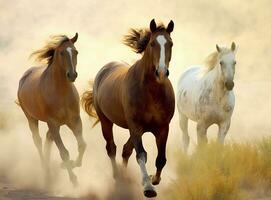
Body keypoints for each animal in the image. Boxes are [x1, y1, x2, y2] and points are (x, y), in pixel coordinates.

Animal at [17, 33, 86, 187]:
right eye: (61, 53)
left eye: (76, 52)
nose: (72, 75)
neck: (61, 93)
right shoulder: (53, 123)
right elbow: (64, 152)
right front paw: (73, 179)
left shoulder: (74, 121)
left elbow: (82, 145)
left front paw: (73, 164)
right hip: (32, 119)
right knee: (38, 141)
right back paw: (46, 172)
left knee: (48, 140)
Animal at [82, 19, 175, 198]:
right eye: (152, 43)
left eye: (171, 44)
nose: (161, 72)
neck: (152, 93)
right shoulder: (136, 126)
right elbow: (141, 155)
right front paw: (148, 187)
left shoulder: (162, 128)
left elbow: (161, 158)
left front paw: (154, 179)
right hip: (107, 122)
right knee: (111, 148)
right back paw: (118, 177)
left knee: (126, 150)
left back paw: (125, 178)